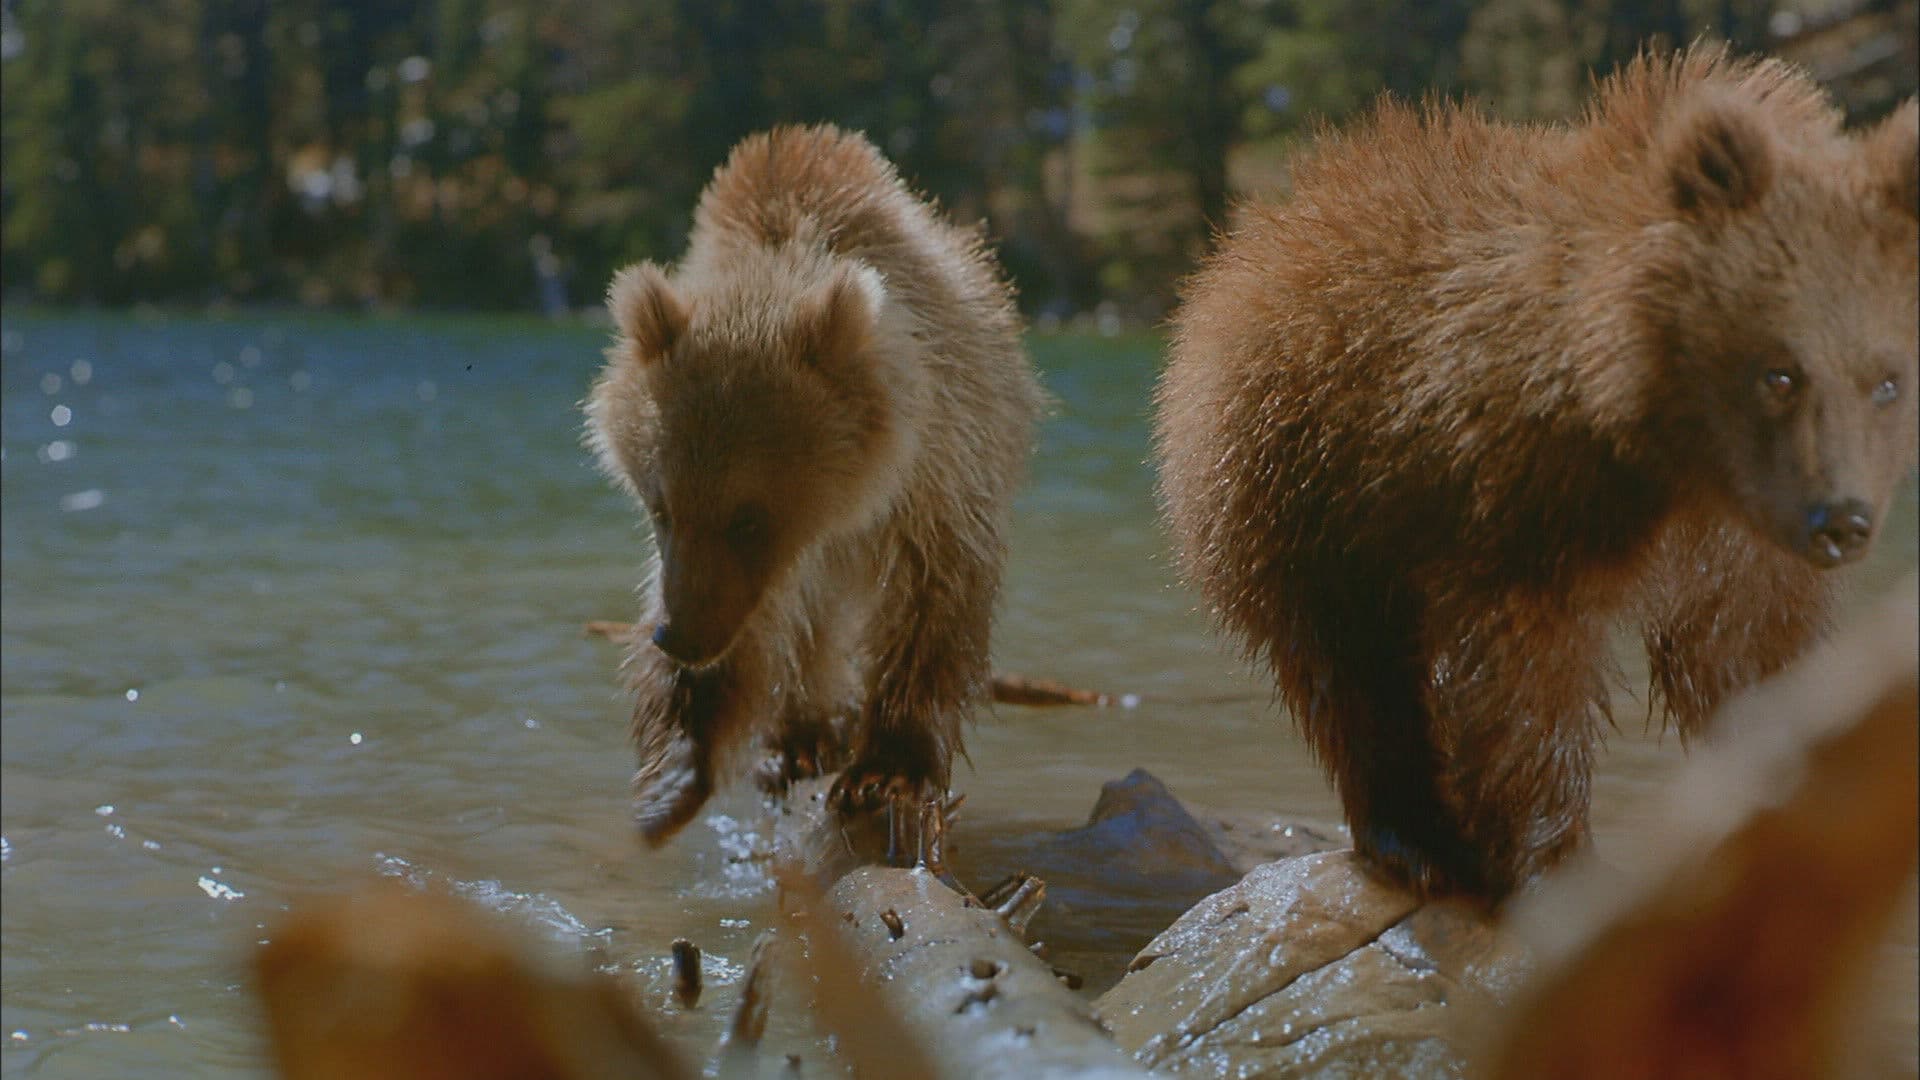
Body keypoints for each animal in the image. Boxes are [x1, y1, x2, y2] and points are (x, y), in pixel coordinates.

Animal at [585, 124, 1045, 846]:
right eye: (660, 508)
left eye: (748, 518)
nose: (680, 636)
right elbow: (752, 628)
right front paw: (673, 771)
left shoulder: (938, 470)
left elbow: (933, 600)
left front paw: (887, 770)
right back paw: (798, 741)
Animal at [1153, 45, 1918, 902]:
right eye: (1779, 373)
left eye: (1888, 381)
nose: (1841, 520)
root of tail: (1260, 228)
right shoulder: (1515, 494)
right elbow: (1523, 682)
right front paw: (1554, 859)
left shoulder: (1741, 546)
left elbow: (1752, 651)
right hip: (1293, 477)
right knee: (1350, 669)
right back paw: (1414, 839)